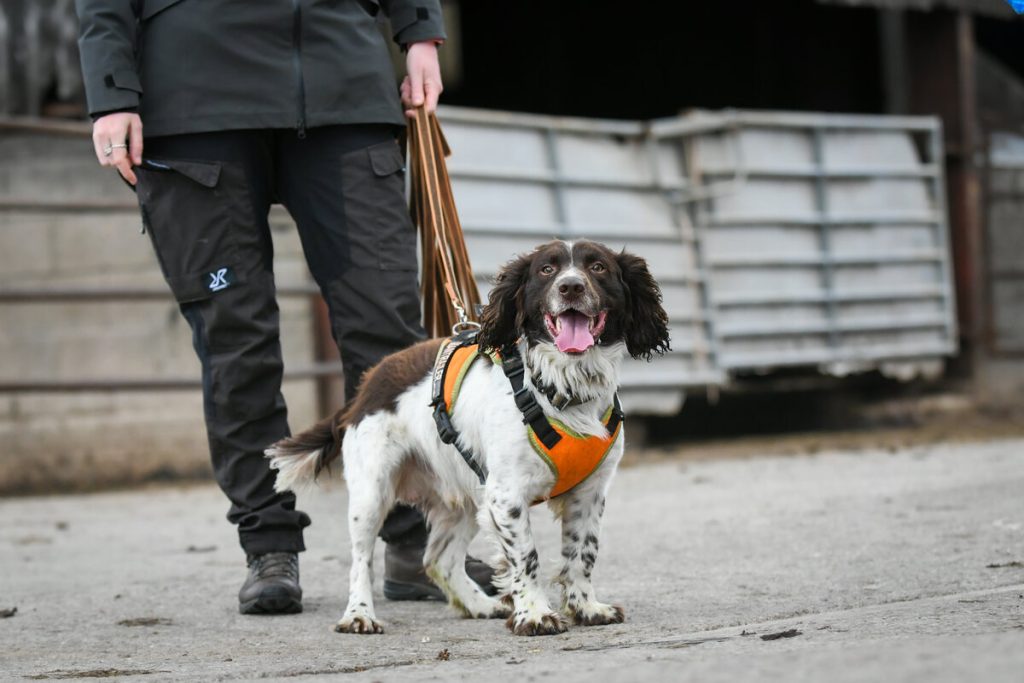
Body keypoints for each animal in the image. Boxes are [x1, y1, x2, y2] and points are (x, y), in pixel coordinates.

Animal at [266, 240, 671, 634]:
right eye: (547, 269)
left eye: (598, 267)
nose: (571, 286)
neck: (562, 386)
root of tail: (366, 386)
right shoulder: (506, 495)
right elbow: (527, 557)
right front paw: (535, 615)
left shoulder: (589, 493)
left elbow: (582, 554)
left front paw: (586, 607)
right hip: (372, 491)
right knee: (361, 560)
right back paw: (358, 615)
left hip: (462, 494)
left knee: (438, 559)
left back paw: (481, 605)